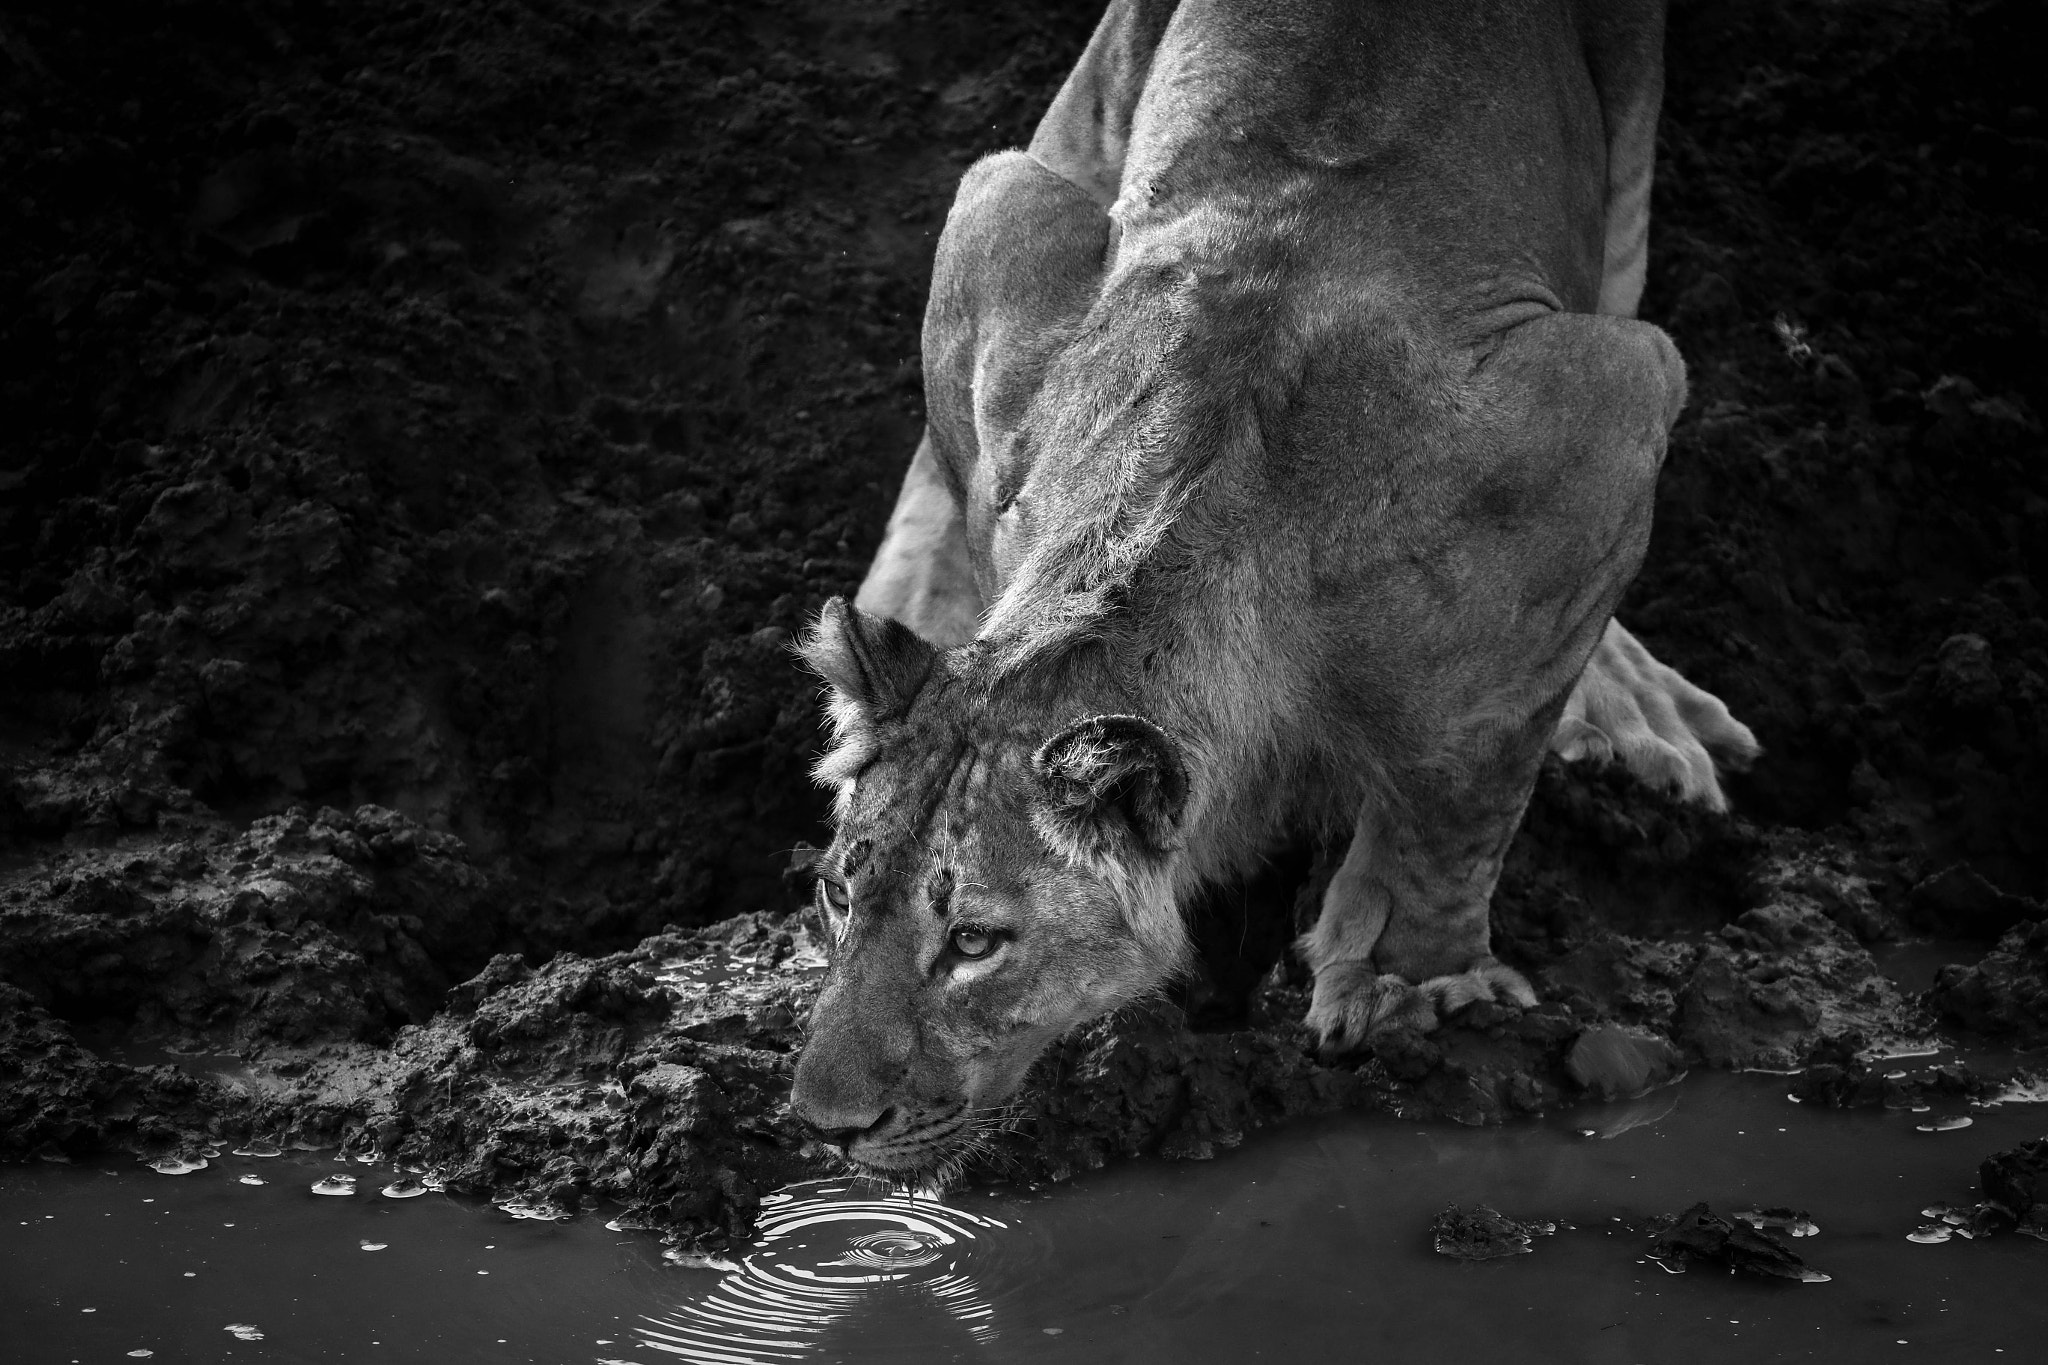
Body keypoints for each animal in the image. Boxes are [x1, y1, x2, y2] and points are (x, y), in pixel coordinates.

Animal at [787, 0, 1759, 1172]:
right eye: (837, 893)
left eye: (975, 941)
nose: (824, 1124)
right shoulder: (999, 228)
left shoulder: (1610, 404)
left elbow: (1466, 787)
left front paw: (1406, 980)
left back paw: (1639, 713)